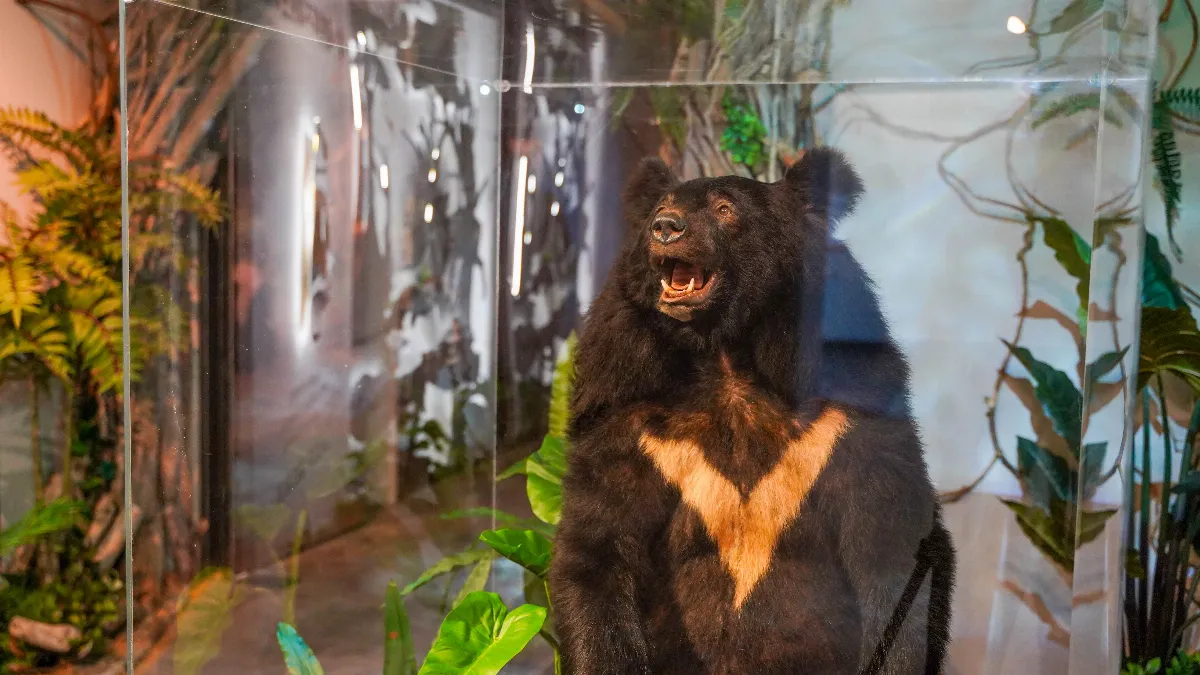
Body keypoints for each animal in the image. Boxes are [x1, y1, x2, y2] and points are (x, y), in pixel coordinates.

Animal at [547, 148, 956, 675]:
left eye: (725, 209)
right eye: (662, 206)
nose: (665, 227)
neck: (727, 360)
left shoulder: (850, 412)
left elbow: (893, 545)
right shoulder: (627, 417)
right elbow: (598, 543)